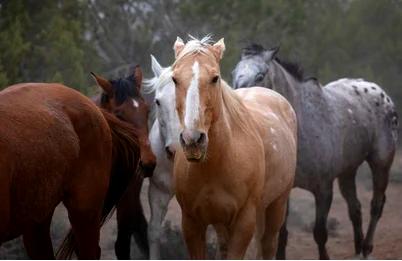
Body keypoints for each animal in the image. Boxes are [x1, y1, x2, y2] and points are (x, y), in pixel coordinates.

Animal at [171, 36, 296, 258]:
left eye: (215, 78)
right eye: (175, 79)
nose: (193, 140)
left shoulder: (243, 223)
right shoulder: (192, 223)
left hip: (277, 205)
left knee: (268, 244)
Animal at [232, 43, 398, 258]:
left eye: (260, 75)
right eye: (234, 73)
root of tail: (381, 94)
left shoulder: (323, 189)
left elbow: (320, 232)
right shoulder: (285, 190)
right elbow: (282, 234)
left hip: (381, 163)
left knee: (376, 205)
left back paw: (367, 247)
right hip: (347, 172)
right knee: (355, 208)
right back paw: (358, 248)